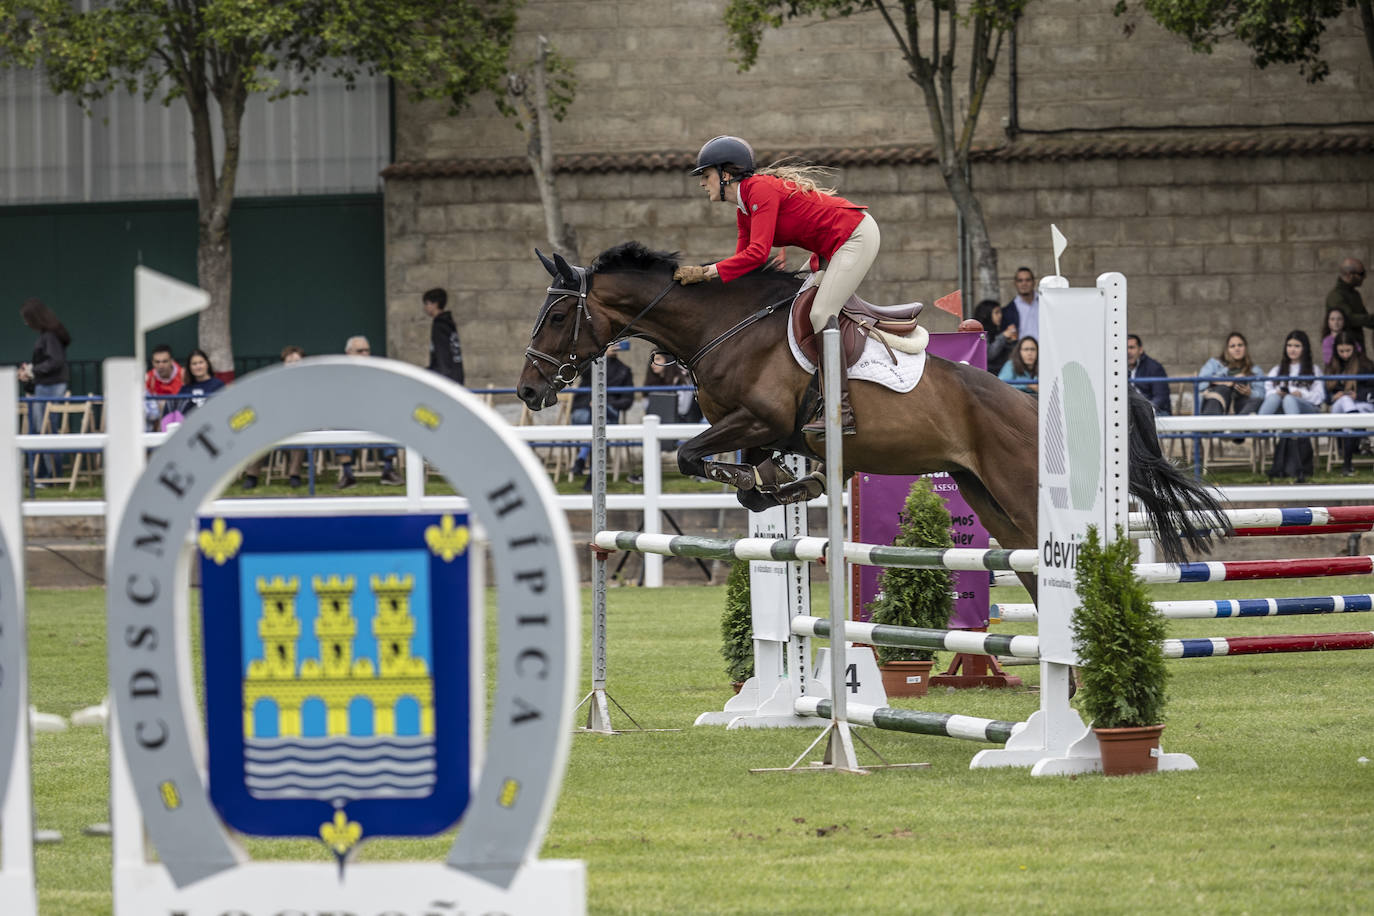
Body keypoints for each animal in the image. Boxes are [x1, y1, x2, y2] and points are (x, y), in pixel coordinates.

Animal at [519, 240, 1231, 576]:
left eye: (555, 315)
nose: (528, 391)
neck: (721, 326)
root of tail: (1030, 403)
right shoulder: (755, 429)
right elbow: (732, 470)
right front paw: (779, 485)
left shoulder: (761, 418)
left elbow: (691, 453)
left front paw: (786, 483)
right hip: (987, 499)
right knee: (1026, 565)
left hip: (1015, 490)